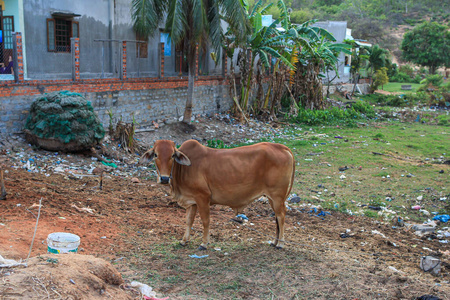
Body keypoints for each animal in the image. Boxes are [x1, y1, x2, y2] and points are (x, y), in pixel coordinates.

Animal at [141, 139, 296, 250]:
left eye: (173, 155)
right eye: (156, 154)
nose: (164, 178)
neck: (182, 169)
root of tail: (281, 147)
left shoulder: (203, 197)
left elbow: (205, 221)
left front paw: (204, 244)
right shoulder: (192, 201)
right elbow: (189, 221)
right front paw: (184, 241)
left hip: (277, 195)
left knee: (281, 216)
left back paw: (280, 244)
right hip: (271, 197)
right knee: (277, 218)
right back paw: (275, 242)